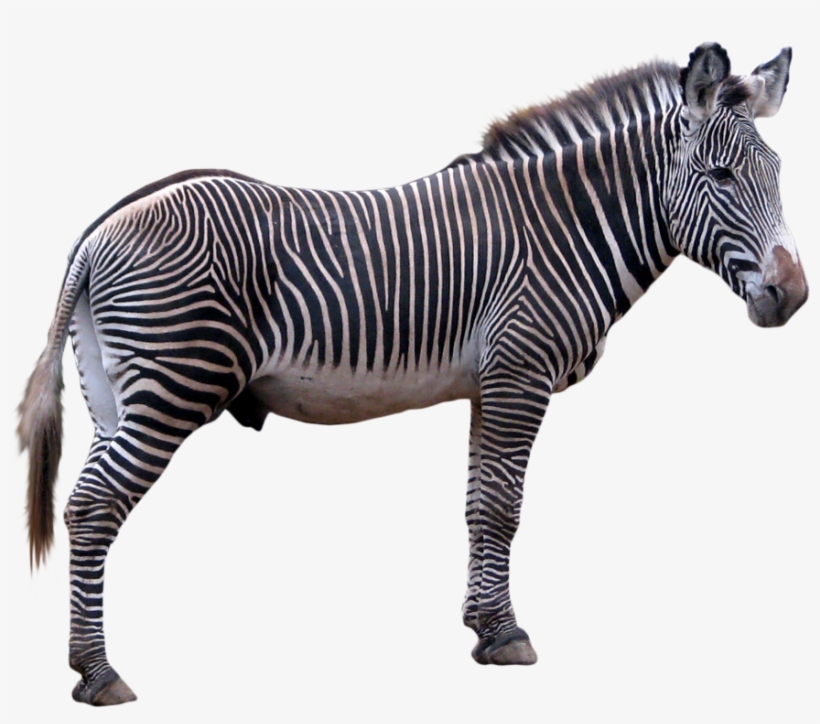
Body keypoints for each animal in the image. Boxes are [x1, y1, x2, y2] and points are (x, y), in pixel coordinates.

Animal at [17, 42, 807, 705]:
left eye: (776, 176)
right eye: (721, 176)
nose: (793, 295)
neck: (567, 228)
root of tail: (100, 230)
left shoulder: (492, 384)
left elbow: (478, 506)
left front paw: (483, 626)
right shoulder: (521, 374)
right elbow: (504, 508)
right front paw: (508, 637)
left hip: (113, 398)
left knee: (86, 504)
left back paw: (85, 664)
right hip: (172, 387)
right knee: (94, 507)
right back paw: (99, 674)